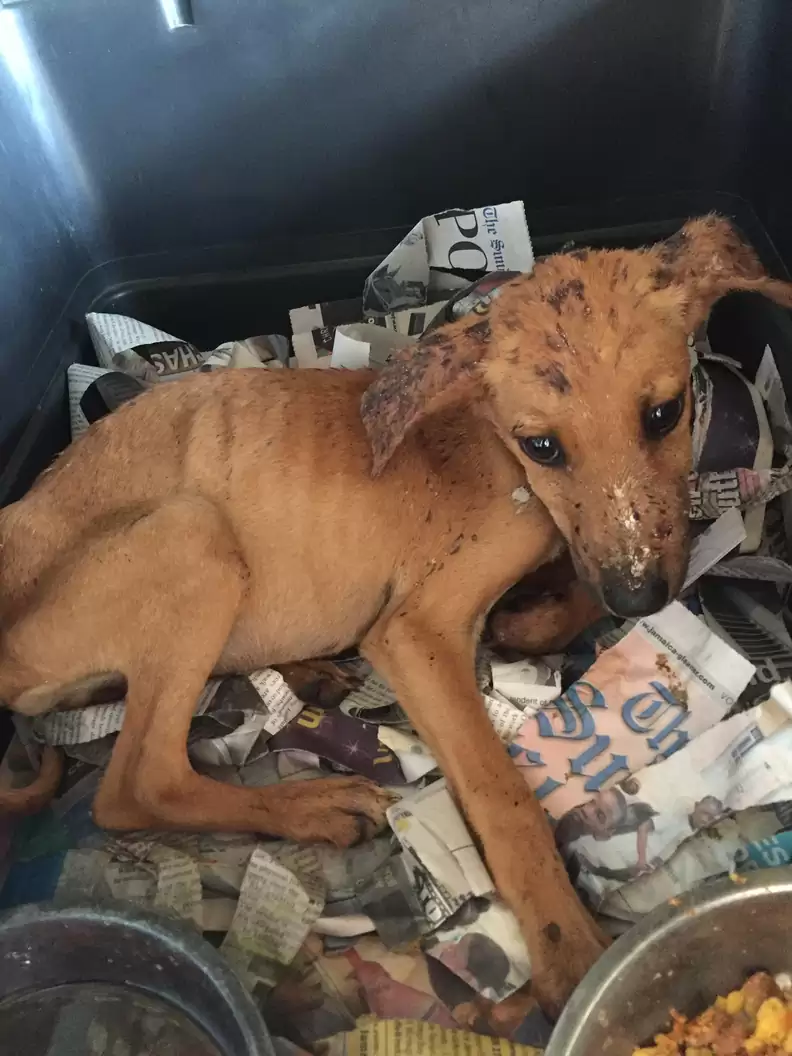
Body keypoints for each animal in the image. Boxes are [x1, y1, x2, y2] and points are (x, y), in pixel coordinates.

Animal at [0, 216, 789, 1013]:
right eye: (541, 445)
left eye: (665, 414)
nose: (640, 602)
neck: (494, 448)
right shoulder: (416, 631)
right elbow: (502, 793)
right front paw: (565, 946)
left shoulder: (604, 546)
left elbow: (599, 568)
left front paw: (529, 622)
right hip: (193, 536)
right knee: (139, 783)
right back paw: (311, 806)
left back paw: (310, 676)